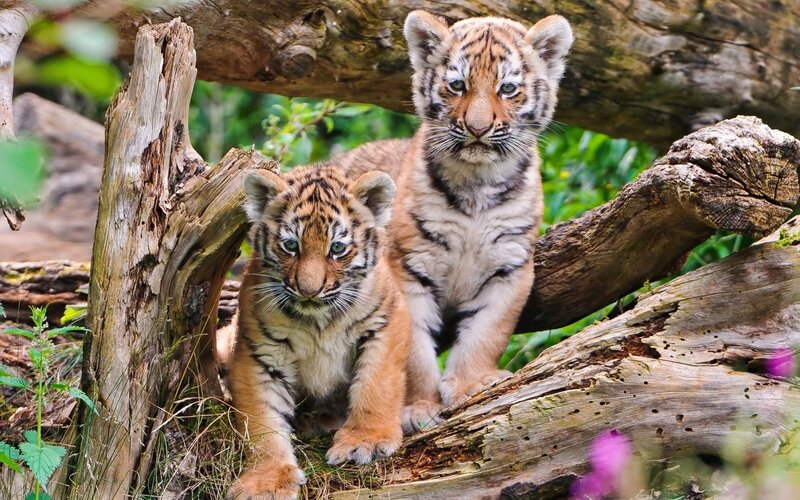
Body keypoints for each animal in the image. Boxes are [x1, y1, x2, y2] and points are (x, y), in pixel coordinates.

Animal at [226, 165, 410, 499]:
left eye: (337, 248)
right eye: (290, 246)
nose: (309, 290)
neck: (319, 321)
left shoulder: (385, 321)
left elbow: (376, 384)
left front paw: (366, 441)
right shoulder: (258, 354)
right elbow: (262, 420)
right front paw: (267, 481)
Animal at [335, 10, 574, 432]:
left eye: (507, 88)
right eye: (457, 85)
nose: (478, 128)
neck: (478, 184)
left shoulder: (510, 267)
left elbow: (487, 332)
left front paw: (470, 385)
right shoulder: (408, 268)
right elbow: (413, 350)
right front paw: (417, 407)